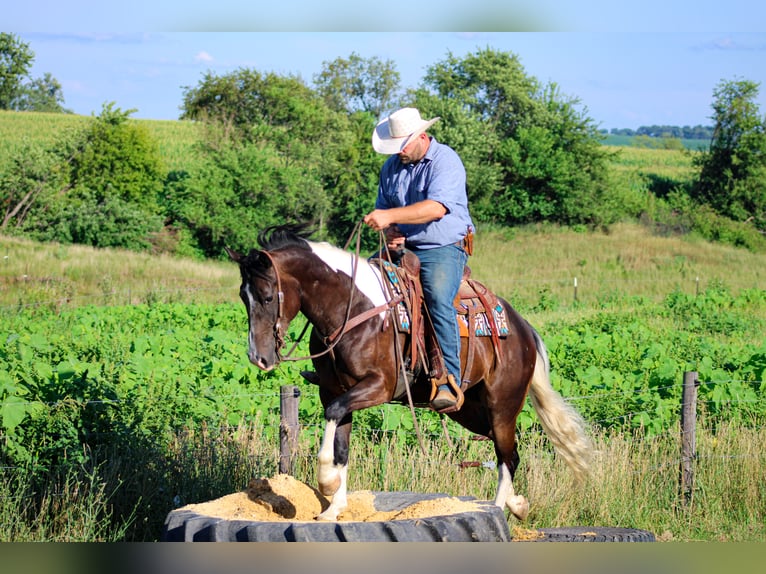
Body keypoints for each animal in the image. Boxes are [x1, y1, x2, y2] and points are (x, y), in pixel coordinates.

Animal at [228, 225, 592, 528]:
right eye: (243, 297)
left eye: (266, 296)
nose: (258, 358)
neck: (352, 309)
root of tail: (523, 328)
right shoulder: (334, 390)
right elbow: (341, 444)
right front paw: (334, 508)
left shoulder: (376, 387)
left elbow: (333, 421)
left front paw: (327, 482)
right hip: (469, 410)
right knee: (507, 451)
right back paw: (518, 504)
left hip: (503, 404)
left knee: (506, 456)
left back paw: (499, 509)